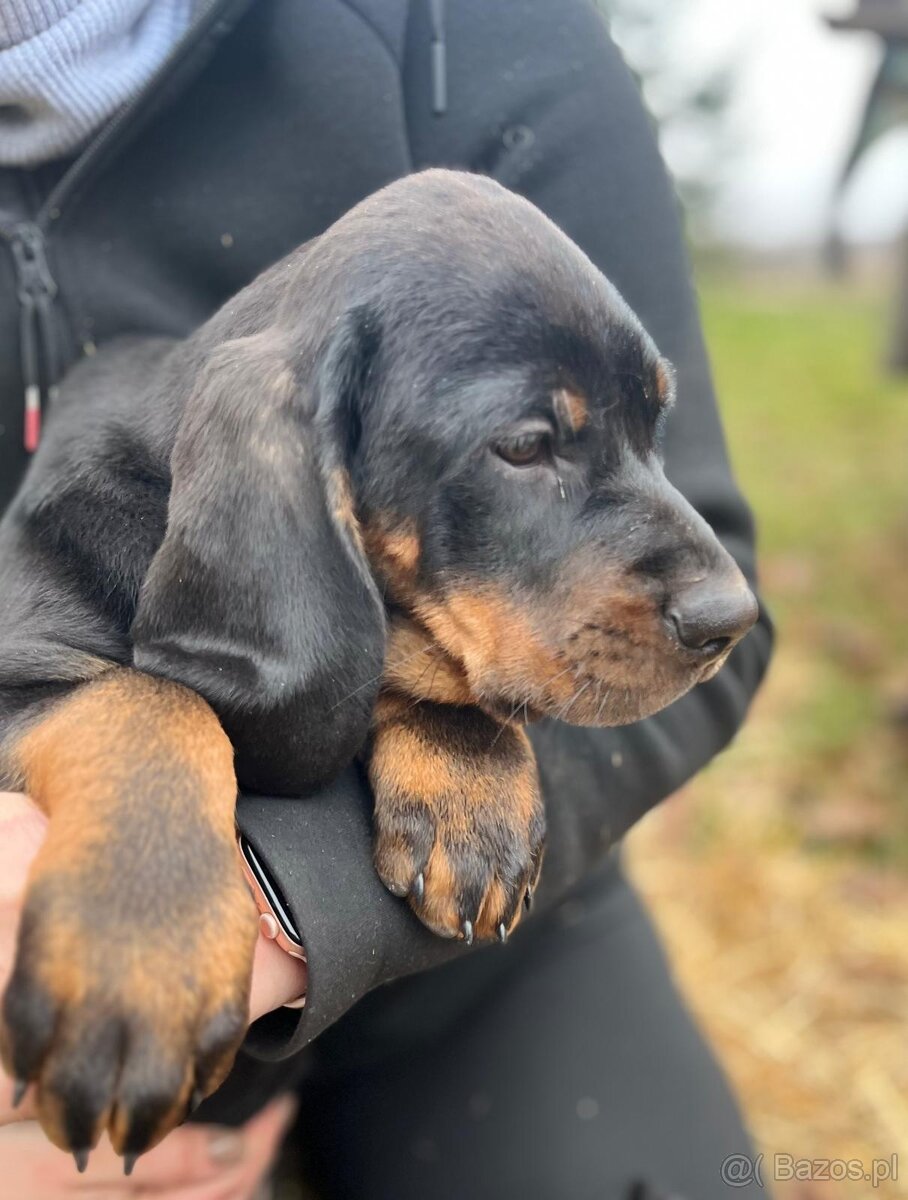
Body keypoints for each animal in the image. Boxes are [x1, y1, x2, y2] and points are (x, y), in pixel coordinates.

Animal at [0, 169, 753, 1161]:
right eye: (524, 446)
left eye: (657, 422)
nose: (734, 618)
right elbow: (146, 702)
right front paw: (135, 947)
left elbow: (415, 660)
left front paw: (468, 789)